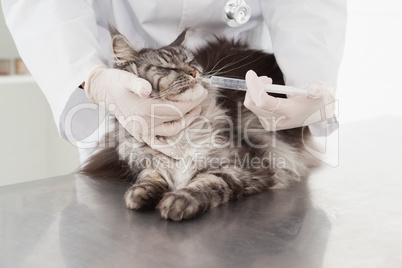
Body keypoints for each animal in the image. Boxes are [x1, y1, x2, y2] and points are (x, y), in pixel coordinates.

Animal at [81, 28, 318, 221]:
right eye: (165, 67)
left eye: (190, 62)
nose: (194, 73)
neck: (178, 136)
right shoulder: (148, 161)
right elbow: (150, 176)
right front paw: (140, 193)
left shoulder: (248, 167)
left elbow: (210, 183)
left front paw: (179, 200)